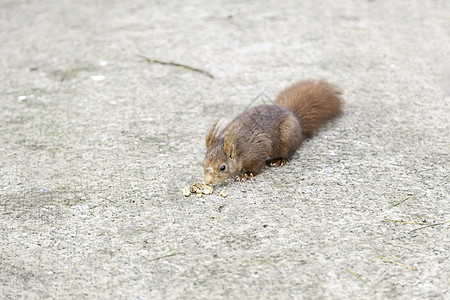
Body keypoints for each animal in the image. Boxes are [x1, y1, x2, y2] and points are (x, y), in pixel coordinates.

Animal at [202, 78, 342, 184]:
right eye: (203, 163)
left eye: (222, 167)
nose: (208, 182)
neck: (239, 148)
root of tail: (295, 119)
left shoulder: (259, 148)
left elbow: (256, 166)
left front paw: (246, 174)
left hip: (287, 135)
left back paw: (278, 160)